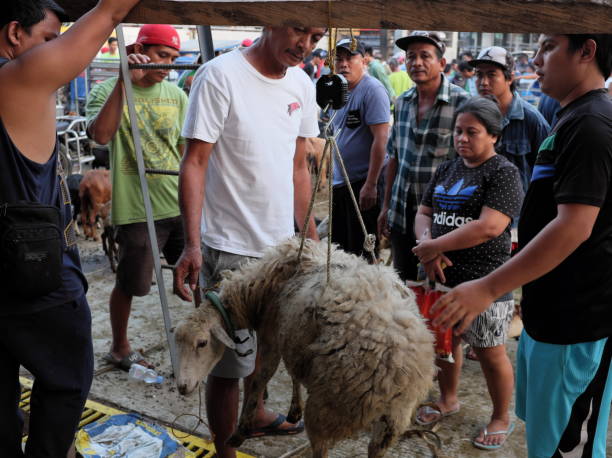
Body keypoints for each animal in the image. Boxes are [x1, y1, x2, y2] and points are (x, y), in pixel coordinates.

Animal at [175, 238, 438, 456]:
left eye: (202, 343)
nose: (182, 387)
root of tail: (397, 373)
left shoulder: (271, 333)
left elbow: (261, 377)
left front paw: (241, 431)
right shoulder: (293, 335)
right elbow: (293, 373)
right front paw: (294, 410)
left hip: (328, 408)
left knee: (320, 447)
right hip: (392, 422)